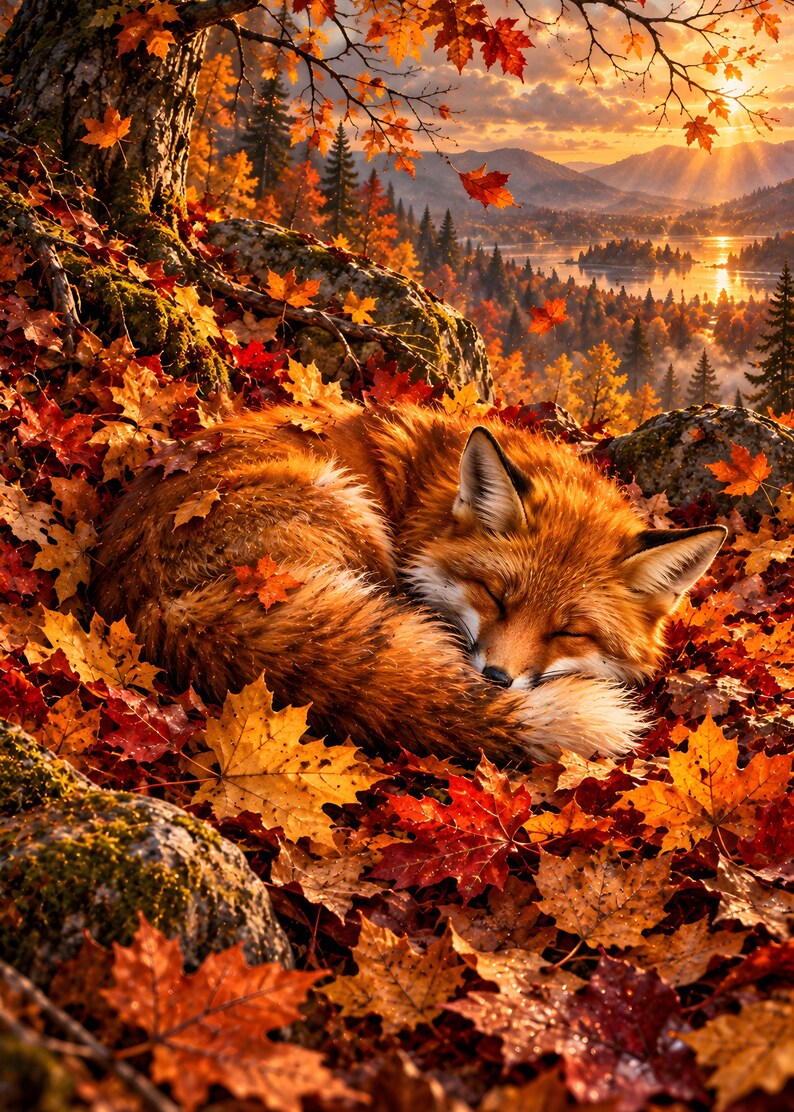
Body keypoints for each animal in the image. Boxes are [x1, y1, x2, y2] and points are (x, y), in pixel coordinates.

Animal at [90, 397, 726, 765]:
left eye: (568, 633)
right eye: (494, 597)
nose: (496, 681)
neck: (428, 500)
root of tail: (155, 606)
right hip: (348, 510)